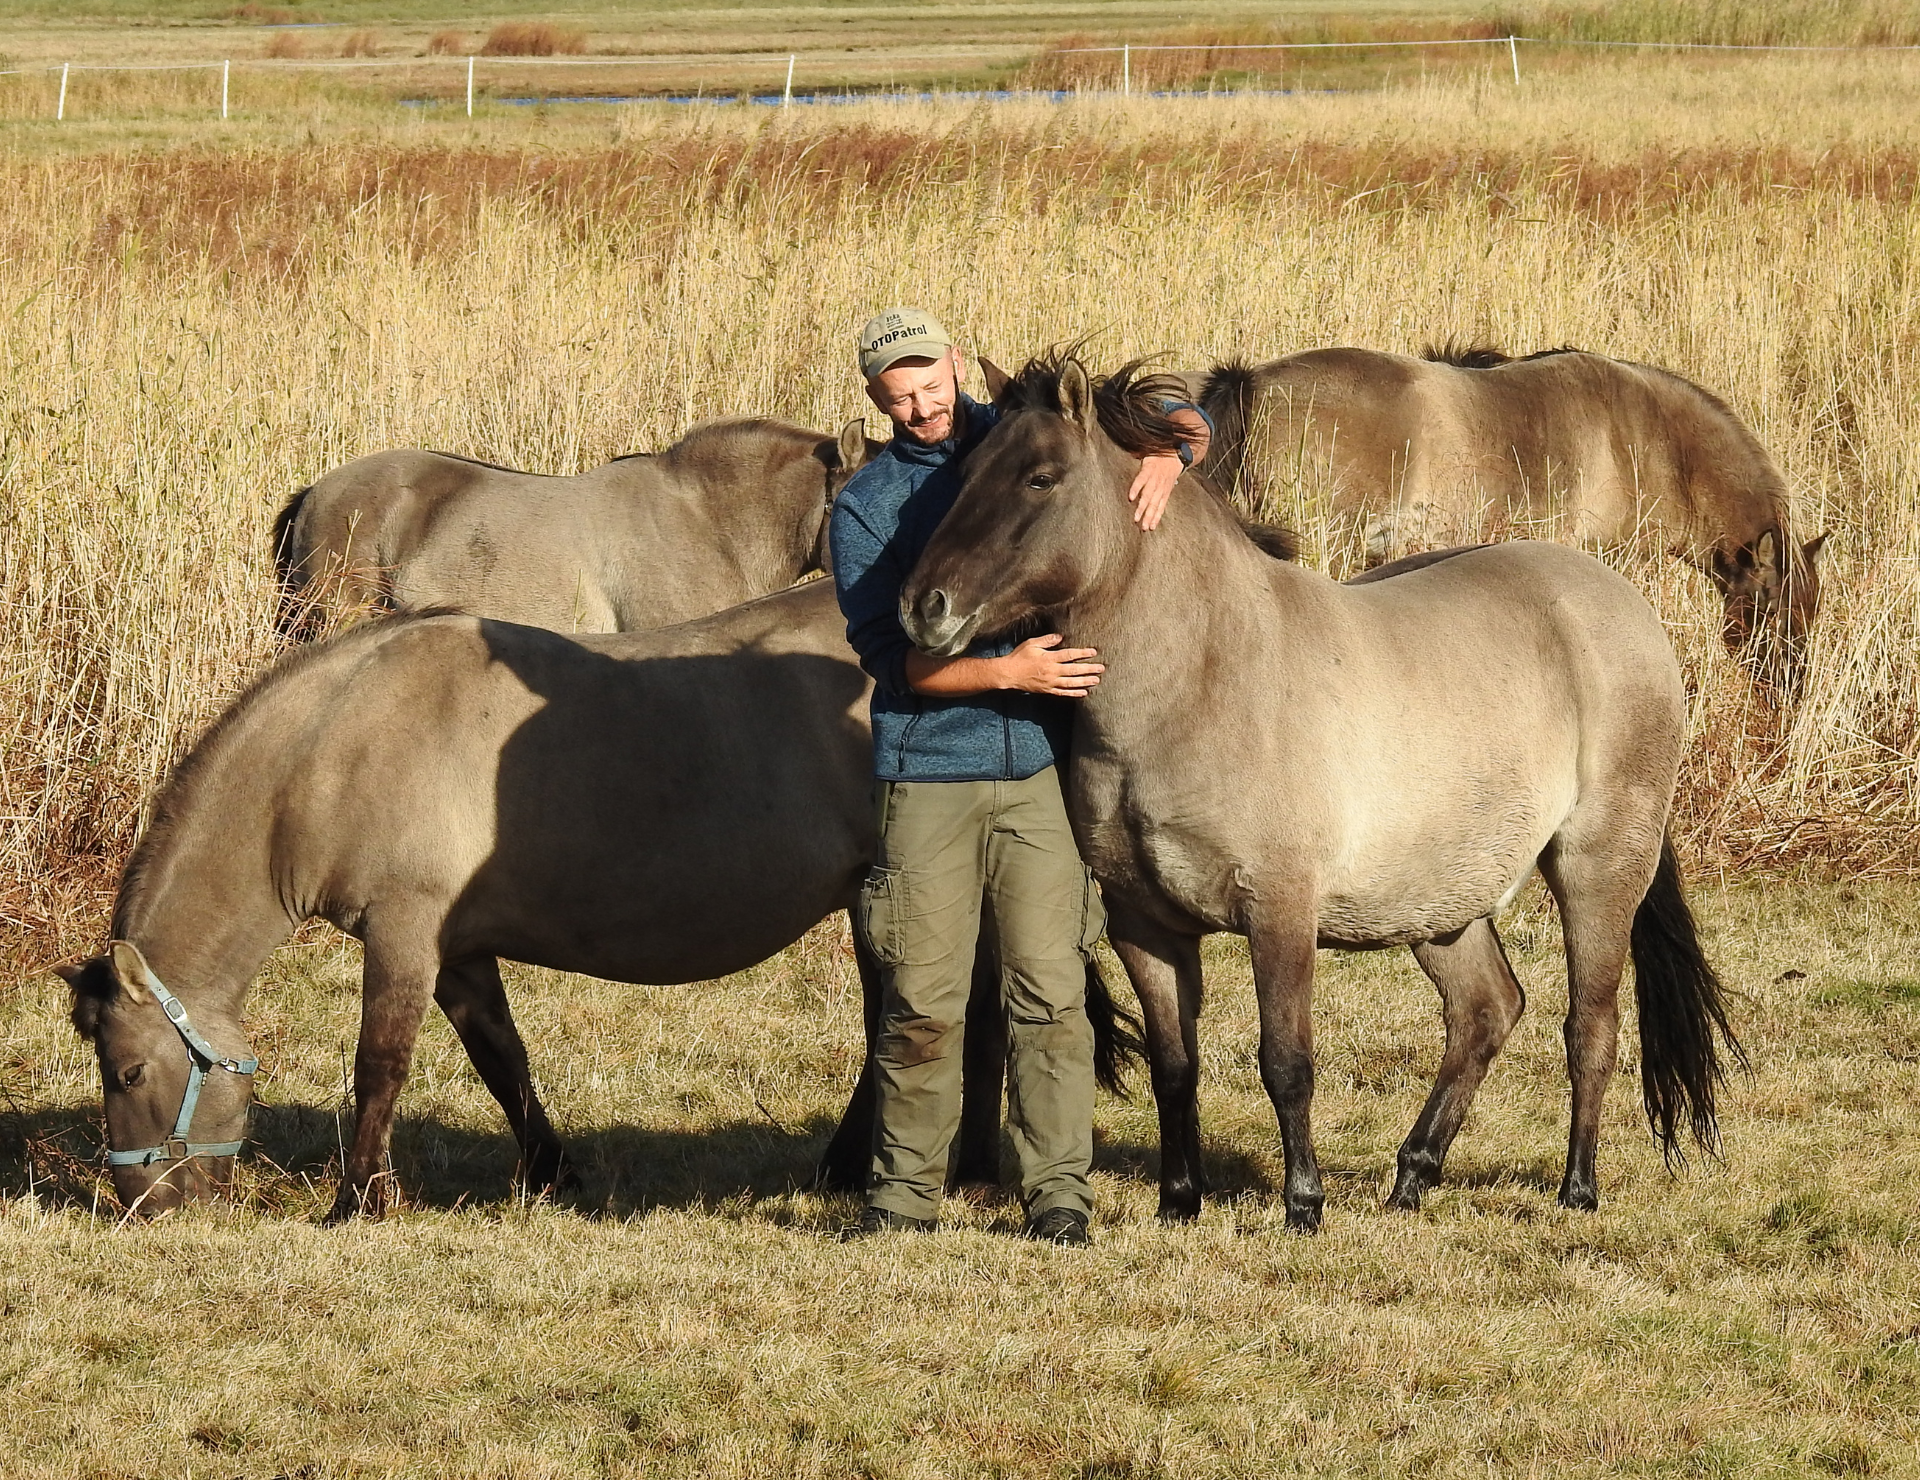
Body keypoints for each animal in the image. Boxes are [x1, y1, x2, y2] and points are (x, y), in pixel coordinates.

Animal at [60, 583, 1136, 1220]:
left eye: (125, 1071)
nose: (138, 1204)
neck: (337, 744)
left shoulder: (404, 935)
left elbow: (380, 1065)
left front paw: (359, 1198)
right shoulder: (458, 950)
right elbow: (503, 1060)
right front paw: (551, 1172)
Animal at [898, 353, 1743, 1236]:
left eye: (1040, 477)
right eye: (965, 473)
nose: (922, 608)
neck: (1201, 676)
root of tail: (1619, 603)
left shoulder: (1280, 910)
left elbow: (1286, 1062)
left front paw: (1303, 1203)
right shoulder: (1145, 925)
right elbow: (1174, 1065)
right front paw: (1179, 1200)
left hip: (1596, 869)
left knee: (1591, 1026)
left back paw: (1577, 1187)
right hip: (1438, 903)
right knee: (1486, 1009)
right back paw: (1411, 1178)